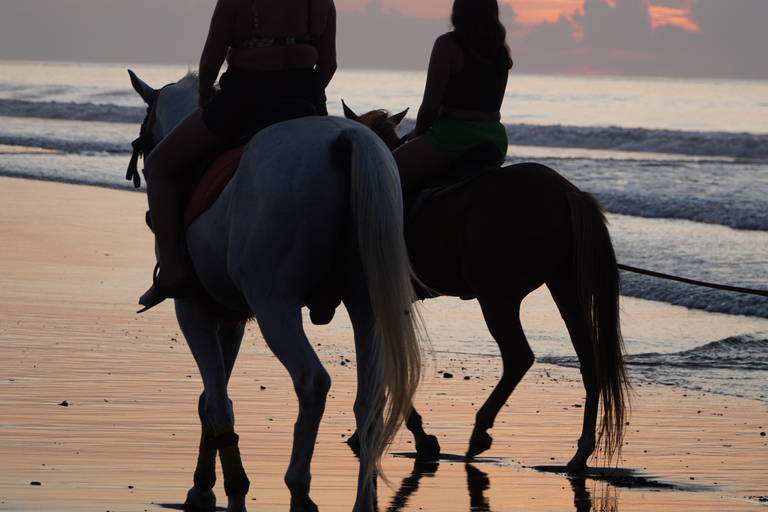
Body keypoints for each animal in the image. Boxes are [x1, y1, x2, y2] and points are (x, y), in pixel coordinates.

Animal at [128, 71, 424, 512]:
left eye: (146, 142)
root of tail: (344, 140)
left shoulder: (194, 310)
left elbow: (216, 402)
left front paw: (225, 487)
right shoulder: (228, 316)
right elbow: (210, 400)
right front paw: (205, 487)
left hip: (275, 306)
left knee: (312, 382)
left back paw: (299, 487)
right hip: (366, 306)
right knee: (369, 402)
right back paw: (361, 500)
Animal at [342, 103, 632, 472]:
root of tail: (565, 192)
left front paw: (415, 435)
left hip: (496, 297)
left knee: (519, 357)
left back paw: (480, 432)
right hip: (564, 290)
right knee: (588, 360)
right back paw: (580, 453)